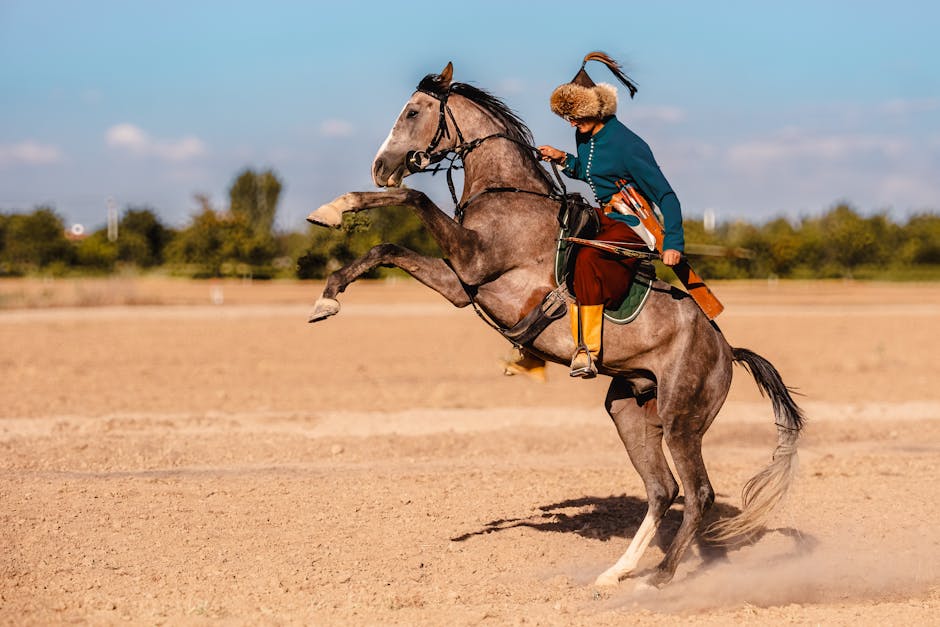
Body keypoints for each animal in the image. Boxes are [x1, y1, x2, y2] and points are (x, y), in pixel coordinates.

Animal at [304, 61, 804, 588]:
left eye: (414, 111)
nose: (381, 167)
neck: (506, 195)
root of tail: (728, 350)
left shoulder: (473, 261)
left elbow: (413, 196)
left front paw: (335, 210)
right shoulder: (462, 284)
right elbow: (387, 249)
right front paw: (327, 294)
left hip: (681, 421)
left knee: (699, 493)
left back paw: (659, 579)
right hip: (629, 409)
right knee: (663, 489)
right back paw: (615, 573)